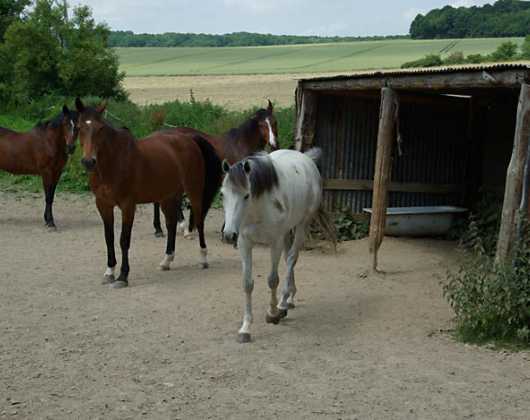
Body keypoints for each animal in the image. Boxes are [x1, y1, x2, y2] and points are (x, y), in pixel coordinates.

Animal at [74, 98, 221, 288]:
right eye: (79, 127)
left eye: (100, 129)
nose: (88, 161)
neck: (114, 162)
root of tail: (189, 139)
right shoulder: (103, 204)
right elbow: (109, 238)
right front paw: (109, 272)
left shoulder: (128, 205)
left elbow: (123, 240)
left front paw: (123, 276)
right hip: (169, 196)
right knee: (171, 224)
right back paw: (166, 261)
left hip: (193, 191)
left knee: (199, 221)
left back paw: (203, 259)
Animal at [220, 149, 330, 342]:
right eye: (223, 194)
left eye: (246, 195)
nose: (229, 234)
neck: (257, 209)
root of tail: (307, 159)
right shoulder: (244, 244)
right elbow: (247, 284)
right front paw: (245, 328)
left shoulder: (275, 243)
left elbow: (272, 280)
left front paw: (272, 314)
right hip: (287, 232)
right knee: (288, 260)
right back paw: (289, 299)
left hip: (302, 225)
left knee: (292, 258)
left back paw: (283, 303)